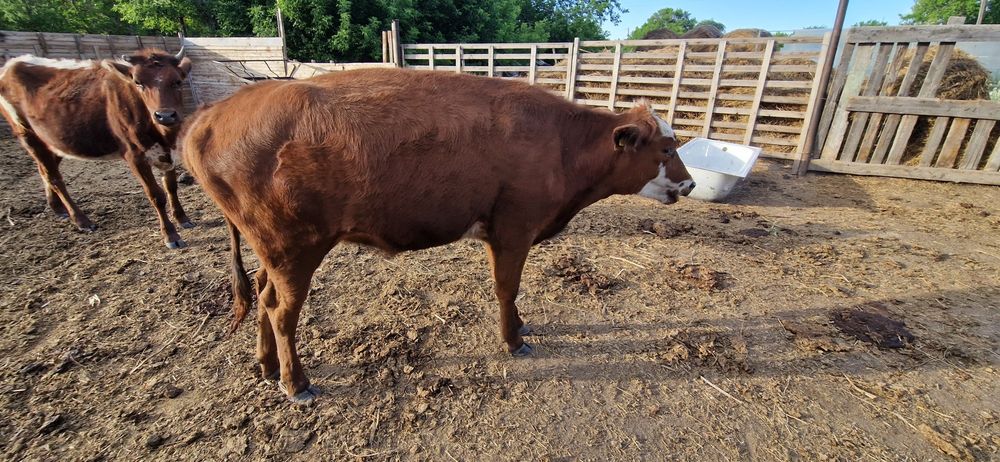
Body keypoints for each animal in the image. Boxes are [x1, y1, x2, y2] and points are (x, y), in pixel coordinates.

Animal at [0, 49, 194, 249]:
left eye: (177, 81)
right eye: (138, 82)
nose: (165, 115)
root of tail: (11, 65)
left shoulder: (168, 152)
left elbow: (171, 187)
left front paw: (182, 219)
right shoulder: (134, 156)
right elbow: (156, 195)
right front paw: (171, 235)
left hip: (55, 141)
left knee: (45, 171)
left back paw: (58, 208)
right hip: (27, 134)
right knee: (54, 178)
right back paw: (82, 221)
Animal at [180, 68, 695, 404]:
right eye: (666, 148)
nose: (690, 184)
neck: (561, 144)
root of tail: (212, 114)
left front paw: (522, 327)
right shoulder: (513, 229)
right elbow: (507, 288)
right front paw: (513, 339)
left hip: (275, 251)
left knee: (263, 297)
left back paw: (268, 366)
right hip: (295, 249)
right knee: (280, 311)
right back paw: (296, 383)